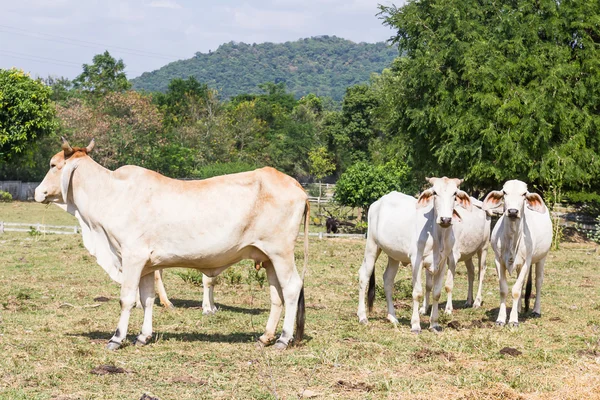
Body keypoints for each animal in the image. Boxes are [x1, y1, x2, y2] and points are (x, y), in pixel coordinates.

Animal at [36, 138, 310, 350]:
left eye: (53, 165)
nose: (38, 192)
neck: (112, 193)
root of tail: (296, 185)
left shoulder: (132, 257)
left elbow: (127, 298)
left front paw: (117, 338)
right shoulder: (147, 264)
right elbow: (147, 299)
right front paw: (143, 336)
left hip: (281, 253)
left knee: (292, 287)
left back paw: (283, 339)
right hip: (268, 257)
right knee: (277, 295)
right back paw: (265, 337)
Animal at [480, 180, 552, 326]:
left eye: (524, 194)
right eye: (504, 192)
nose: (513, 211)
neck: (512, 239)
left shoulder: (526, 263)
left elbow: (516, 291)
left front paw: (513, 320)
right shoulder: (498, 260)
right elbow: (504, 289)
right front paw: (501, 319)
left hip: (542, 258)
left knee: (538, 282)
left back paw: (536, 310)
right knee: (523, 282)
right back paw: (518, 308)